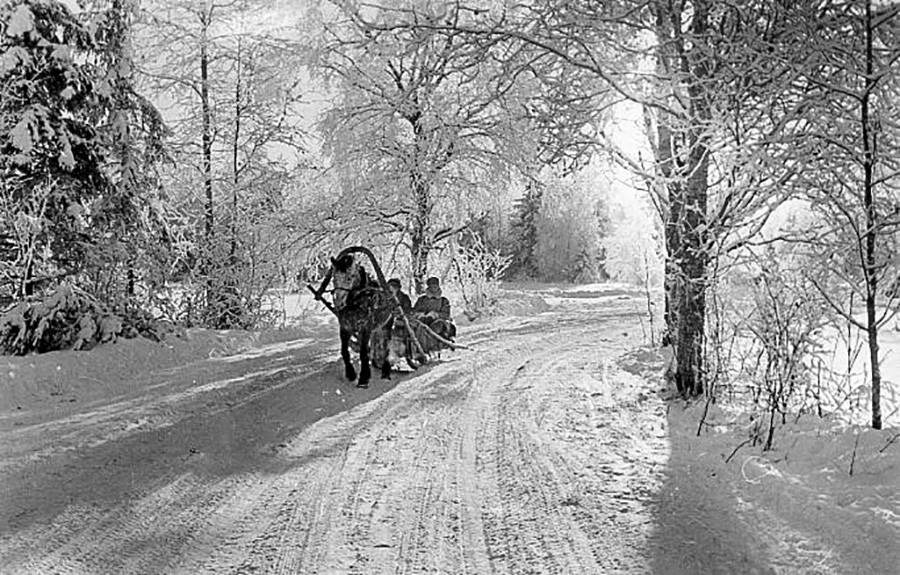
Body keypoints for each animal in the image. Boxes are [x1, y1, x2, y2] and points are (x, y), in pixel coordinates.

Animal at [330, 254, 394, 390]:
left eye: (349, 277)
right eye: (334, 279)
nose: (339, 304)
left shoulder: (365, 328)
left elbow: (364, 353)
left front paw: (363, 378)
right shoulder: (345, 328)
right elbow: (345, 351)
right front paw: (351, 374)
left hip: (385, 326)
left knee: (385, 346)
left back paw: (385, 372)